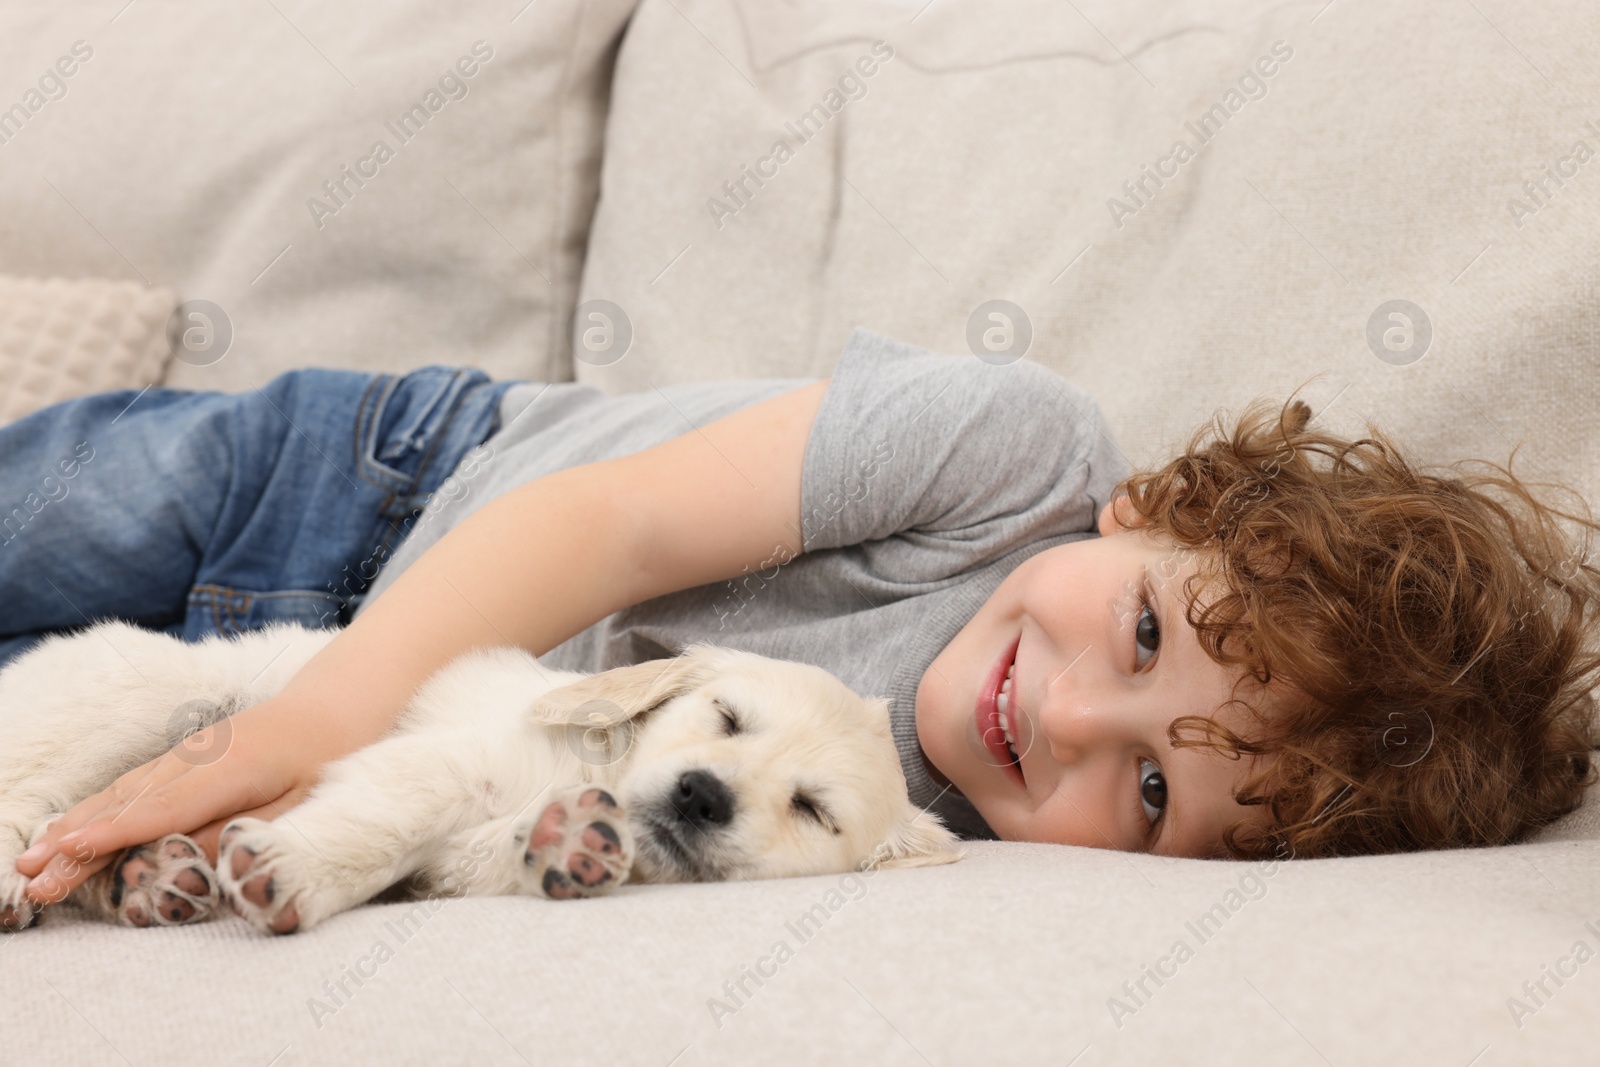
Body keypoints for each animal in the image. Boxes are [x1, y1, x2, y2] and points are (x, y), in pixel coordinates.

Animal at [0, 620, 953, 940]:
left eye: (812, 809)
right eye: (726, 718)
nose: (701, 794)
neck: (597, 762)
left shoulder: (454, 863)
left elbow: (491, 852)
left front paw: (571, 842)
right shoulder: (438, 764)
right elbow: (382, 823)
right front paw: (292, 875)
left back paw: (156, 878)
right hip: (138, 697)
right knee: (34, 806)